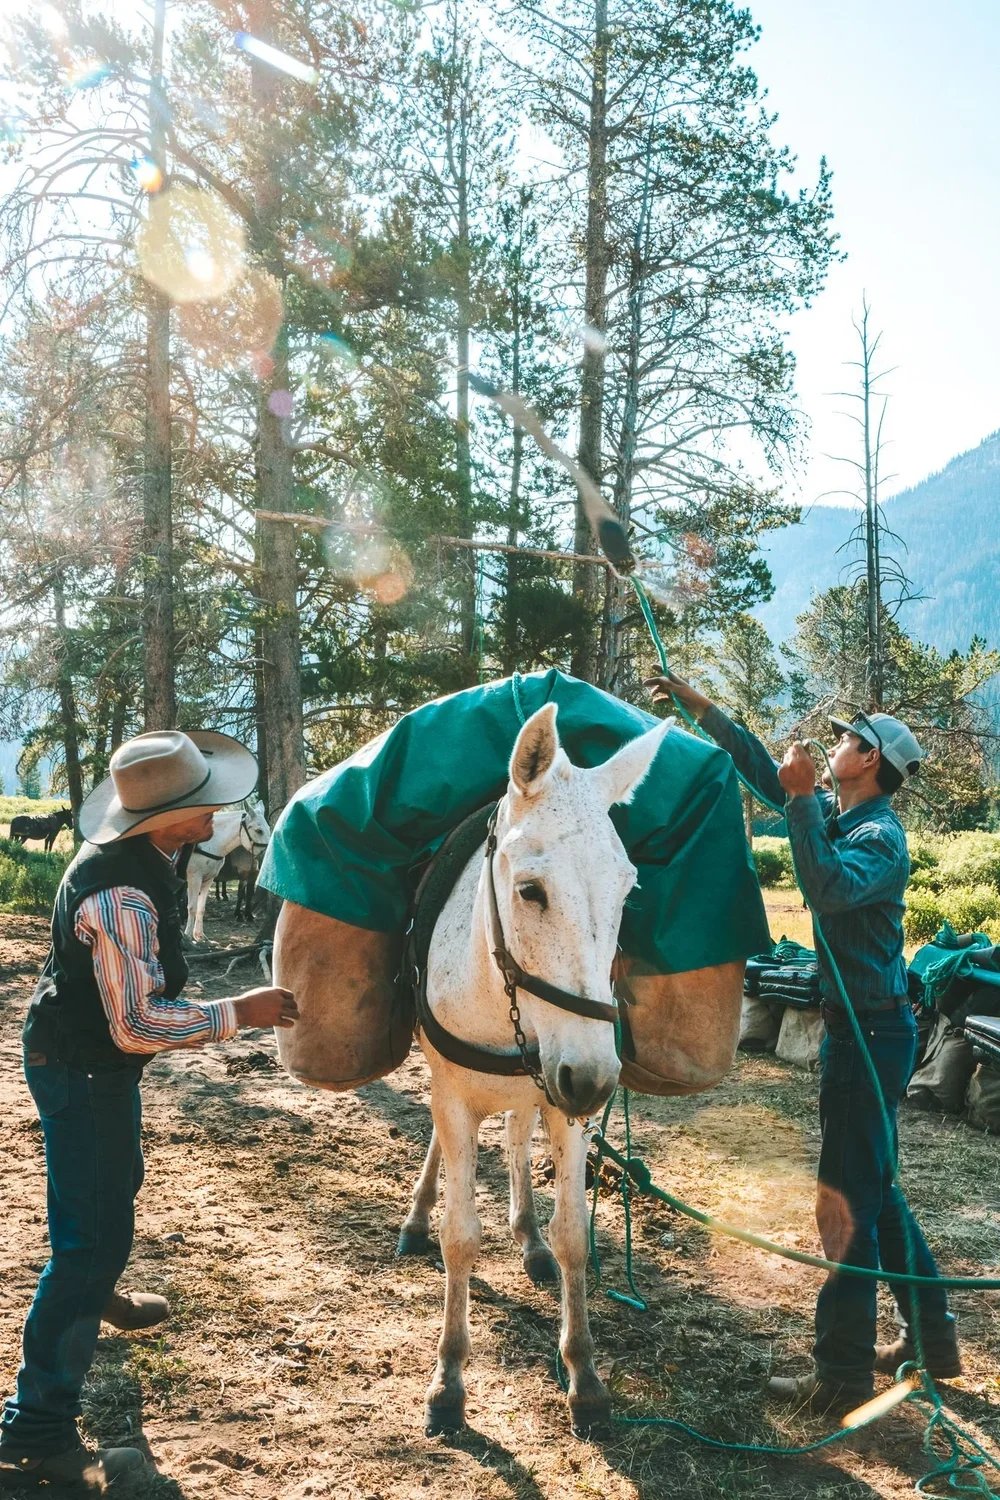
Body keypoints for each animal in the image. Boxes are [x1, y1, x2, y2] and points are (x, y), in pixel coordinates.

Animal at [184, 803, 271, 943]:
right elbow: (192, 907)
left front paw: (199, 935)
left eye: (268, 828)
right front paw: (187, 936)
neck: (209, 842)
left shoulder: (208, 879)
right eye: (259, 830)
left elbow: (201, 908)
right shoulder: (194, 878)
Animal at [403, 701, 672, 1439]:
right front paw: (449, 1380)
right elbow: (460, 1239)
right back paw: (417, 1216)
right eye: (530, 891)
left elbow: (575, 1235)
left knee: (520, 1134)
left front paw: (585, 1376)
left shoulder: (564, 1098)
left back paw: (527, 1237)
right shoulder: (456, 1095)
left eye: (627, 890)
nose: (597, 1079)